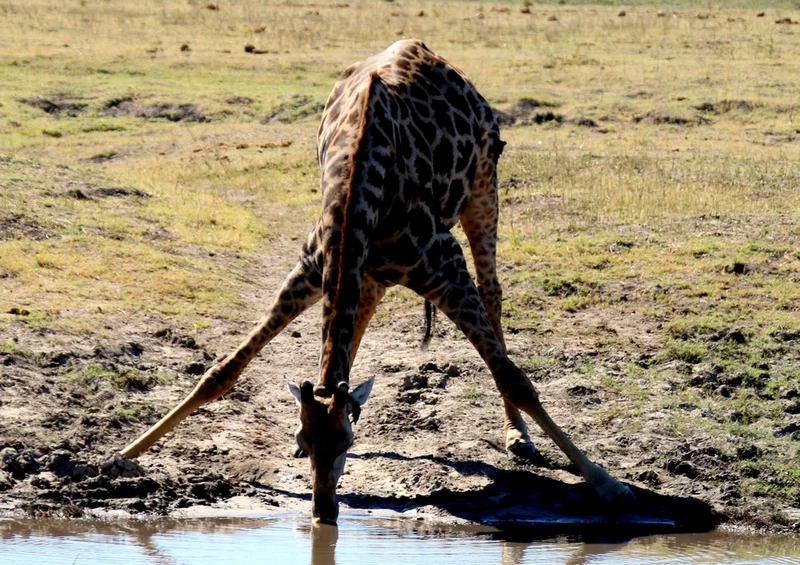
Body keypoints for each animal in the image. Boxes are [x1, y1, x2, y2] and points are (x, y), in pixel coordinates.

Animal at [119, 39, 633, 525]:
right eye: (304, 439)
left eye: (347, 443)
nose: (324, 510)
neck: (358, 185)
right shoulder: (311, 269)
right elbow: (222, 372)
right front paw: (120, 458)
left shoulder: (446, 268)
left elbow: (514, 377)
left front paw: (607, 483)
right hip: (371, 270)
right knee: (363, 314)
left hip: (483, 187)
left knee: (493, 296)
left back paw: (517, 437)